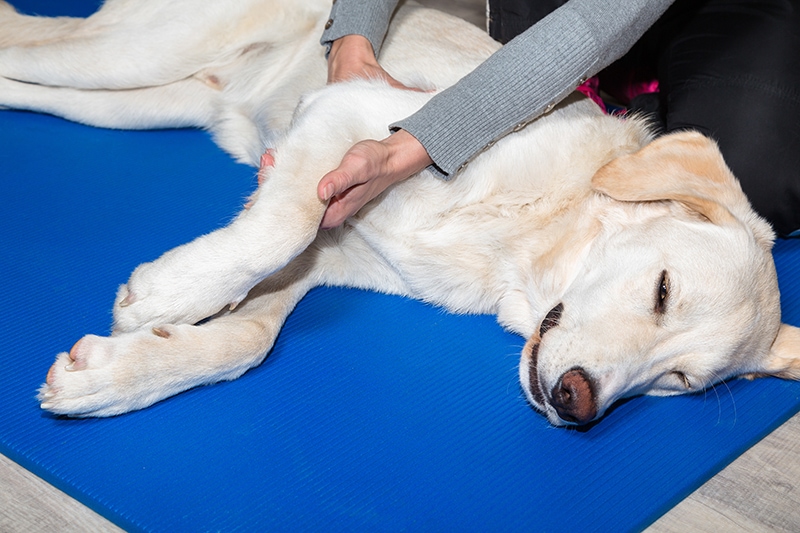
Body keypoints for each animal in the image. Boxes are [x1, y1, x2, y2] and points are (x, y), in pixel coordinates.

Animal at [3, 0, 796, 424]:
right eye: (663, 290)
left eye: (679, 381)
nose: (578, 402)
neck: (519, 242)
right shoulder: (349, 117)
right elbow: (277, 227)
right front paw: (167, 295)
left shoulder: (325, 256)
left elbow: (248, 340)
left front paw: (113, 375)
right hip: (127, 55)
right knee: (24, 37)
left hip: (138, 99)